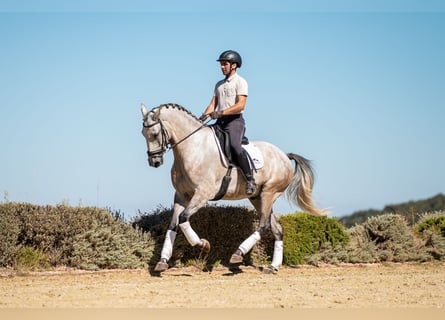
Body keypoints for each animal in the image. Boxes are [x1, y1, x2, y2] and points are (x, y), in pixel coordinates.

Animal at [140, 104, 324, 274]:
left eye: (155, 134)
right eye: (143, 133)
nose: (154, 162)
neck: (192, 148)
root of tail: (284, 156)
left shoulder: (203, 194)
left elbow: (184, 218)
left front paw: (203, 244)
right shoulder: (181, 195)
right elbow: (173, 225)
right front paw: (162, 261)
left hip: (269, 192)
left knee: (264, 225)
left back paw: (238, 253)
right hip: (258, 198)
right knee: (276, 228)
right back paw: (273, 266)